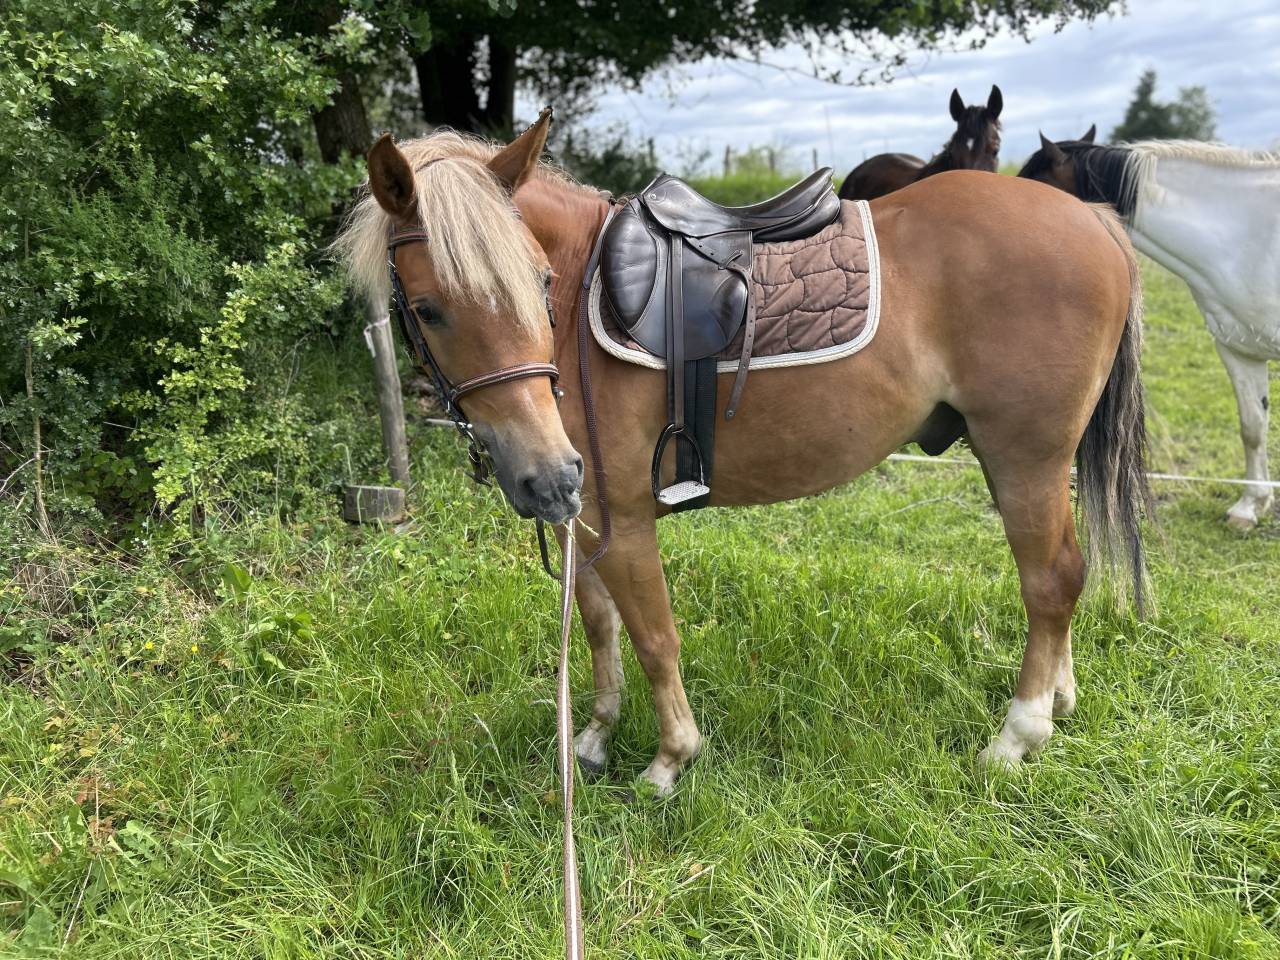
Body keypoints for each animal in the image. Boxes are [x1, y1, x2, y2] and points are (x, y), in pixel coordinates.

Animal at [336, 109, 1148, 795]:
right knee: (1065, 575)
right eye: (430, 309)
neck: (576, 311)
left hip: (1024, 458)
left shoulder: (623, 520)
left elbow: (655, 636)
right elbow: (599, 626)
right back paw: (1059, 702)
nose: (546, 474)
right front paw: (593, 739)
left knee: (1050, 581)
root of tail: (1091, 219)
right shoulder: (585, 516)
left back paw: (1017, 735)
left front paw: (670, 759)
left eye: (539, 283)